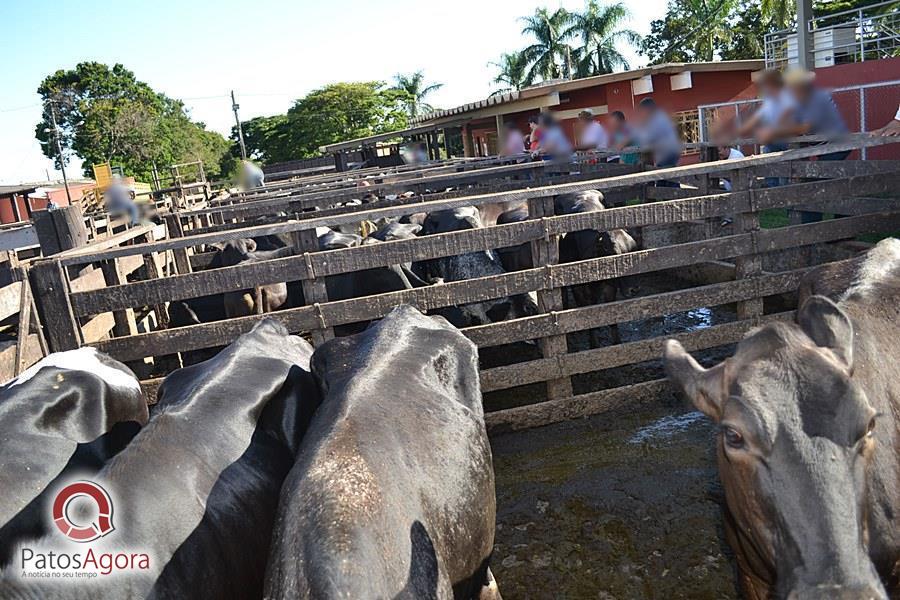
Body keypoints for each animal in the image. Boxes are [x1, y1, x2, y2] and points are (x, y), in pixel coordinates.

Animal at [552, 190, 636, 344]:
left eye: (634, 249)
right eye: (614, 253)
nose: (633, 289)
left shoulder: (610, 288)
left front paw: (617, 342)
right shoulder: (588, 288)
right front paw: (593, 343)